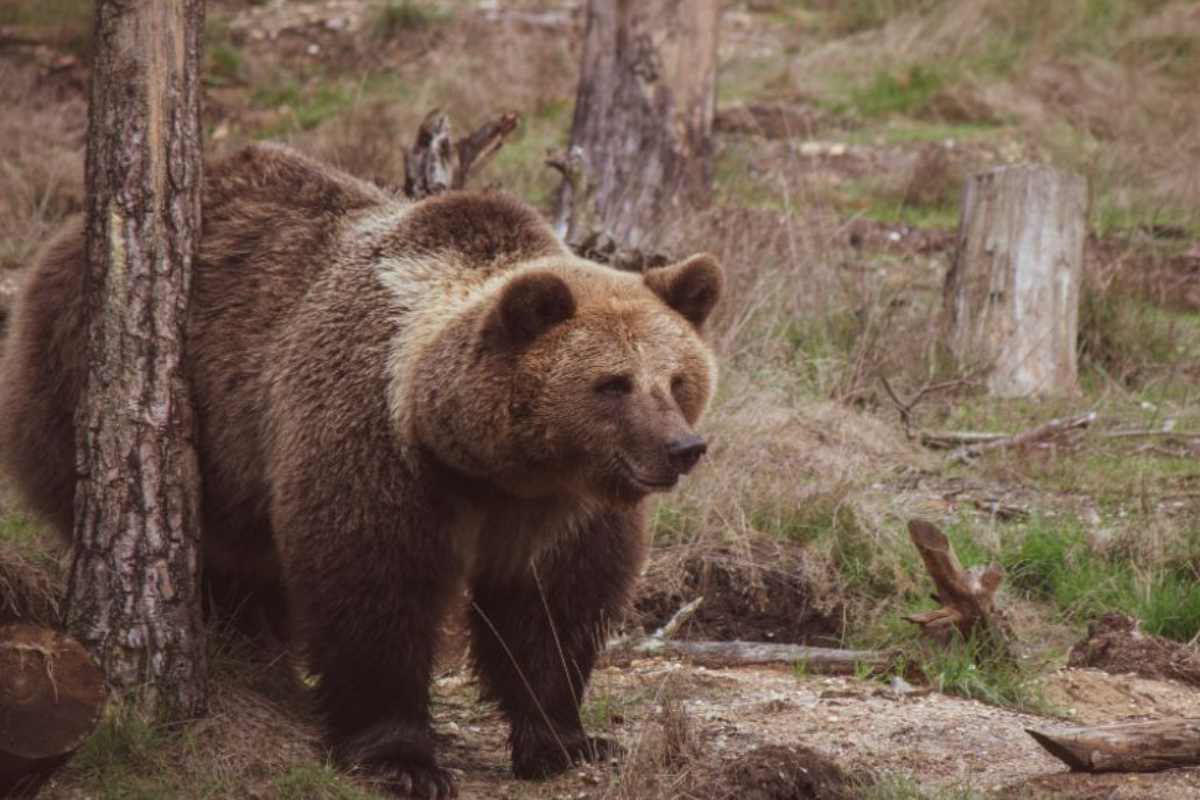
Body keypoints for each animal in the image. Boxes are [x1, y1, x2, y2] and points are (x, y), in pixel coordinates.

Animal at [0, 143, 721, 798]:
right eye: (613, 384)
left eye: (677, 379)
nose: (682, 447)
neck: (485, 462)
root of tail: (60, 244)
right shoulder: (373, 444)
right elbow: (372, 587)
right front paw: (401, 759)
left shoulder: (559, 508)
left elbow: (552, 606)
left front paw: (566, 740)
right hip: (100, 392)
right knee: (225, 561)